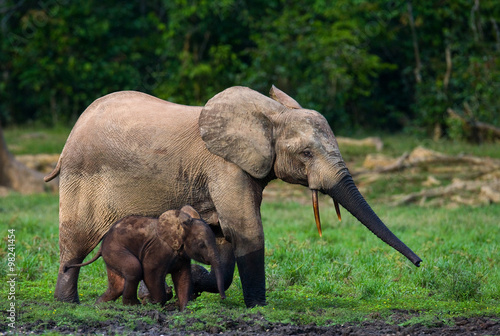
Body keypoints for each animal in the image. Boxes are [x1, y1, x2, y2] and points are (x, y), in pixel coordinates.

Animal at [65, 205, 226, 310]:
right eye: (201, 245)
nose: (223, 299)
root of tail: (102, 244)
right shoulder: (158, 250)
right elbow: (151, 273)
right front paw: (152, 303)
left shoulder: (182, 255)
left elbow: (183, 277)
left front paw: (184, 309)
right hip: (115, 249)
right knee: (134, 269)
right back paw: (133, 305)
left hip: (110, 255)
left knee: (117, 285)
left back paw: (99, 306)